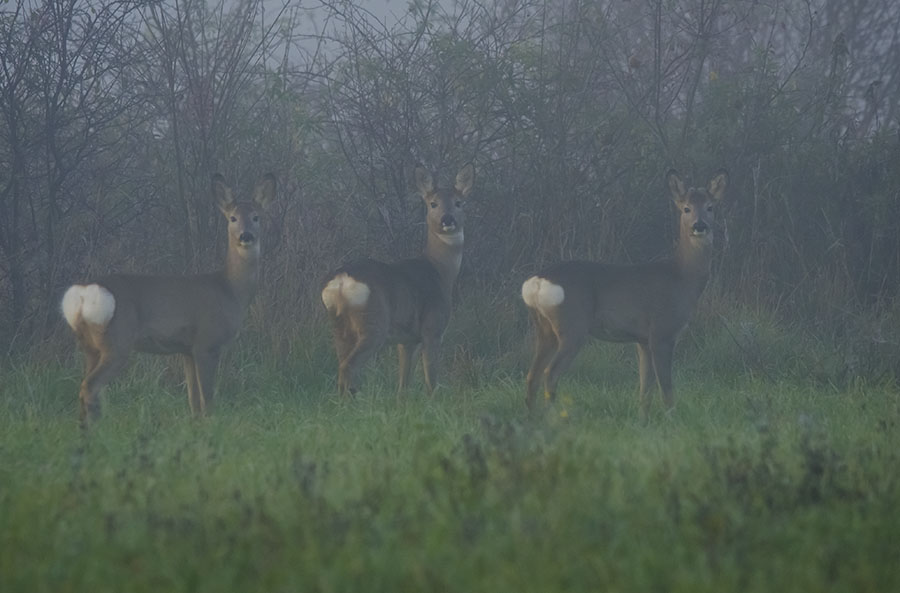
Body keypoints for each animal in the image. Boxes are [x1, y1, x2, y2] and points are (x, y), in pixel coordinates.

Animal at [61, 173, 276, 424]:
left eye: (256, 217)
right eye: (232, 218)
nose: (245, 235)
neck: (230, 289)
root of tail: (84, 294)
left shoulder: (186, 349)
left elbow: (193, 399)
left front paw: (196, 424)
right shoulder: (206, 342)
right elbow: (208, 397)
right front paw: (212, 424)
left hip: (90, 346)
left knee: (85, 386)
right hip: (117, 341)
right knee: (90, 386)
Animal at [324, 162, 478, 396]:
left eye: (459, 203)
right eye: (433, 204)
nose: (447, 219)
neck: (441, 271)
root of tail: (341, 280)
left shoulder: (406, 339)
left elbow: (403, 382)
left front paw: (402, 401)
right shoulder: (433, 328)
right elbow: (431, 378)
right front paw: (433, 400)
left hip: (338, 325)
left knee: (341, 364)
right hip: (374, 323)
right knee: (348, 366)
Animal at [524, 168, 728, 416]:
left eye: (710, 207)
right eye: (686, 208)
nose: (699, 225)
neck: (682, 278)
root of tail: (536, 282)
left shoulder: (642, 339)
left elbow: (644, 388)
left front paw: (643, 418)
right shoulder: (662, 331)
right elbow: (666, 387)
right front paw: (671, 417)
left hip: (544, 329)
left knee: (532, 376)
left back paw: (532, 418)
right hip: (572, 326)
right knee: (550, 373)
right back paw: (552, 416)